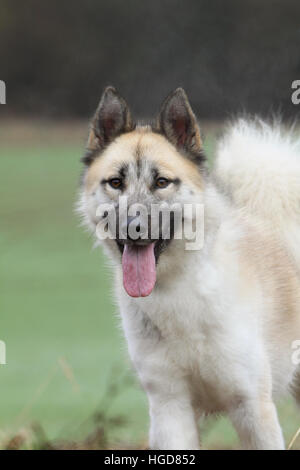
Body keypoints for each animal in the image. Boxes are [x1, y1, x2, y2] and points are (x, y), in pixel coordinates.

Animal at [78, 86, 300, 450]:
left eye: (161, 182)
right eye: (115, 183)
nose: (133, 227)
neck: (178, 288)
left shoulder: (252, 407)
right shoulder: (170, 408)